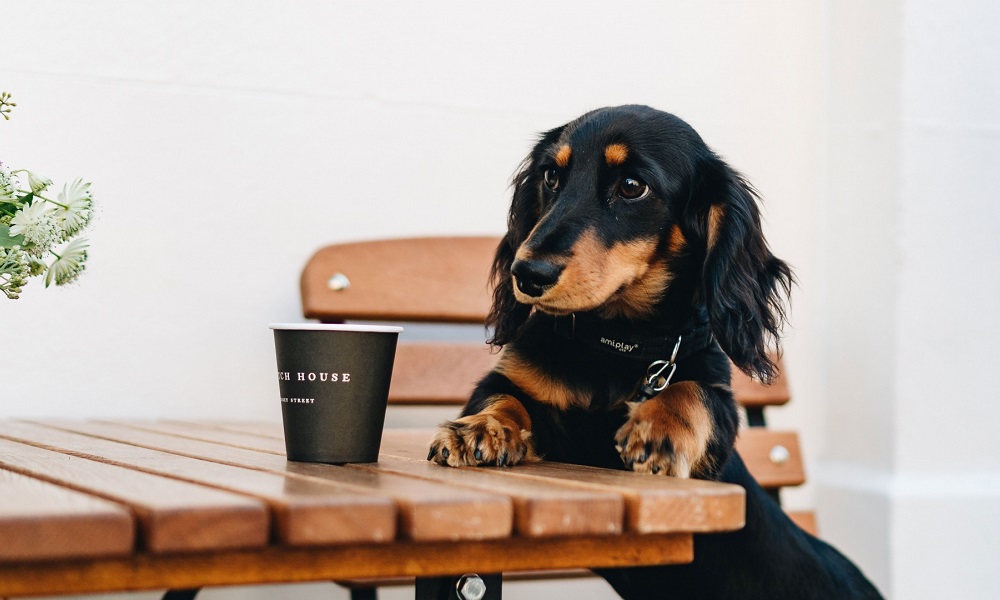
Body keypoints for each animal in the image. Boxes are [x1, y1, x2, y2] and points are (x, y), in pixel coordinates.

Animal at [426, 105, 880, 596]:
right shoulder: (511, 378)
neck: (616, 345)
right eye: (550, 175)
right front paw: (480, 429)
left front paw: (657, 431)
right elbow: (503, 396)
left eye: (631, 186)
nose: (527, 274)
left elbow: (692, 391)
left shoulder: (716, 412)